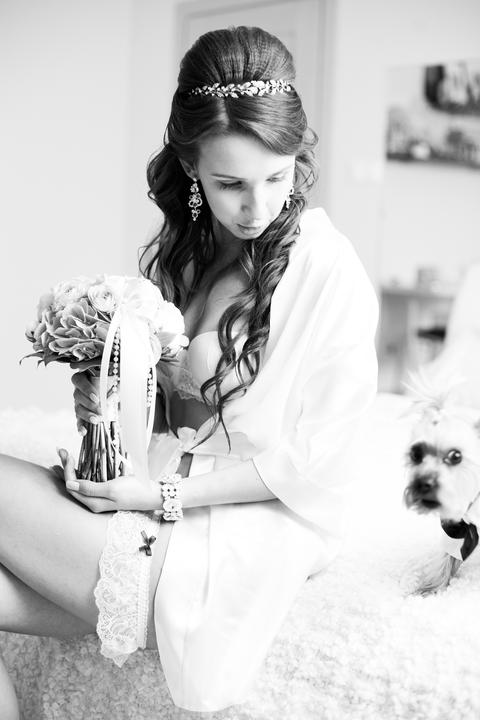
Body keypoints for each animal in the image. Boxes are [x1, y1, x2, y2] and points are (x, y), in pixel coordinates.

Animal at [403, 377, 480, 595]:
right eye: (416, 454)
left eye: (456, 456)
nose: (422, 484)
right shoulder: (459, 528)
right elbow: (449, 556)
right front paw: (432, 587)